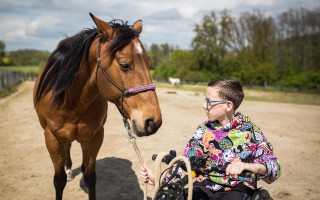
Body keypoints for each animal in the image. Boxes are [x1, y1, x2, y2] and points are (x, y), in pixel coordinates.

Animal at [33, 12, 161, 200]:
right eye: (124, 64)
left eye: (150, 64)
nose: (153, 121)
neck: (72, 101)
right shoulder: (52, 138)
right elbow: (59, 180)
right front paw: (65, 173)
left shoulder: (94, 136)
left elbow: (91, 176)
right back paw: (69, 169)